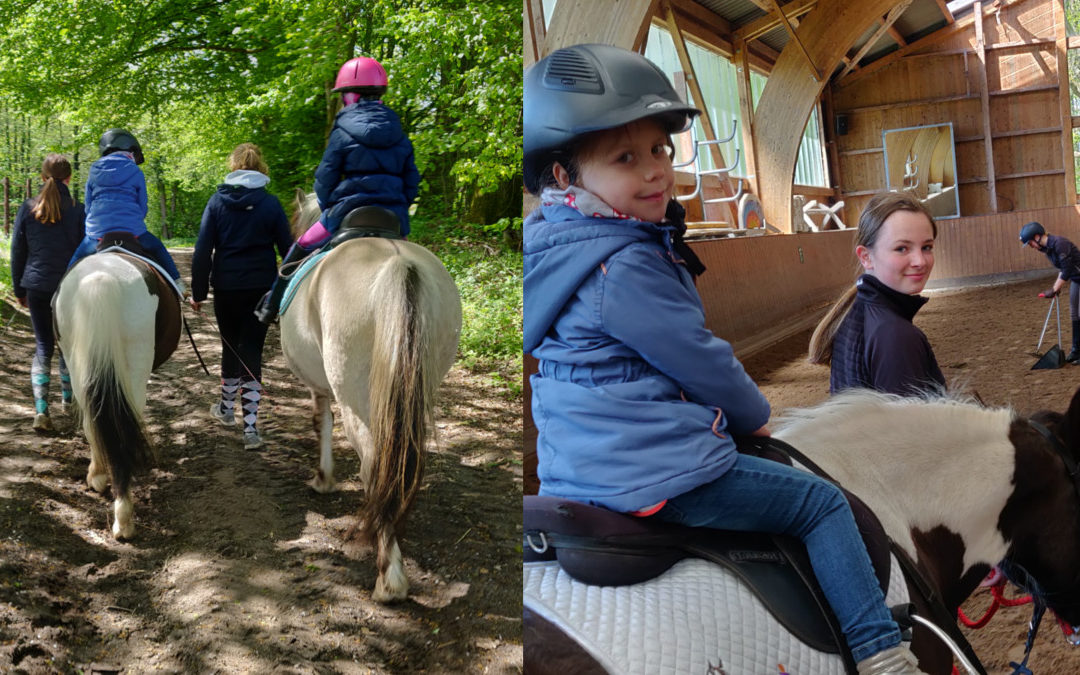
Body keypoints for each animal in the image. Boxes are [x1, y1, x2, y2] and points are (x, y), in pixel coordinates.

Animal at [53, 250, 180, 540]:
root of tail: (102, 278)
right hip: (135, 364)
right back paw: (124, 518)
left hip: (79, 364)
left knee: (93, 421)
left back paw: (102, 481)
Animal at [278, 191, 460, 600]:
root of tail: (398, 263)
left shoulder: (320, 388)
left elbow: (321, 423)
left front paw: (323, 479)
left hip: (357, 399)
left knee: (373, 467)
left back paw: (389, 579)